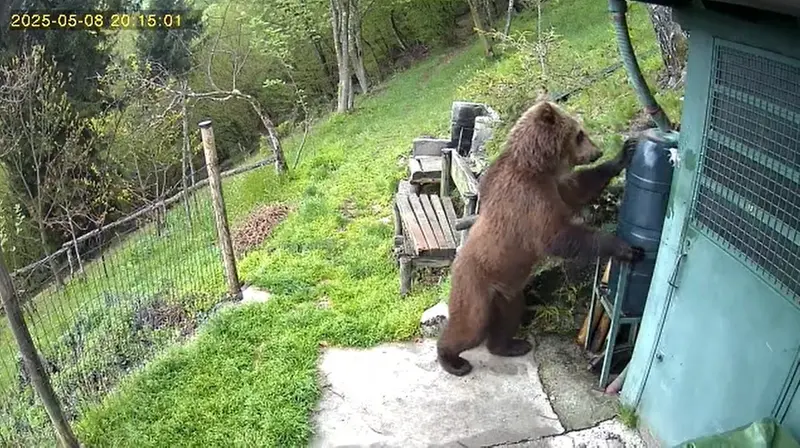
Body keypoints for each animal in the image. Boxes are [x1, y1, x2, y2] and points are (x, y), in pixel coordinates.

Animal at [436, 100, 644, 376]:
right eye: (579, 133)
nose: (597, 151)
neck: (537, 165)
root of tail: (455, 265)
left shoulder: (555, 187)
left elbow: (579, 187)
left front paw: (624, 153)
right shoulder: (527, 198)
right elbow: (557, 236)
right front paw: (625, 248)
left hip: (507, 291)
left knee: (509, 317)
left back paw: (510, 345)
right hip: (476, 285)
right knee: (470, 325)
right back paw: (452, 360)